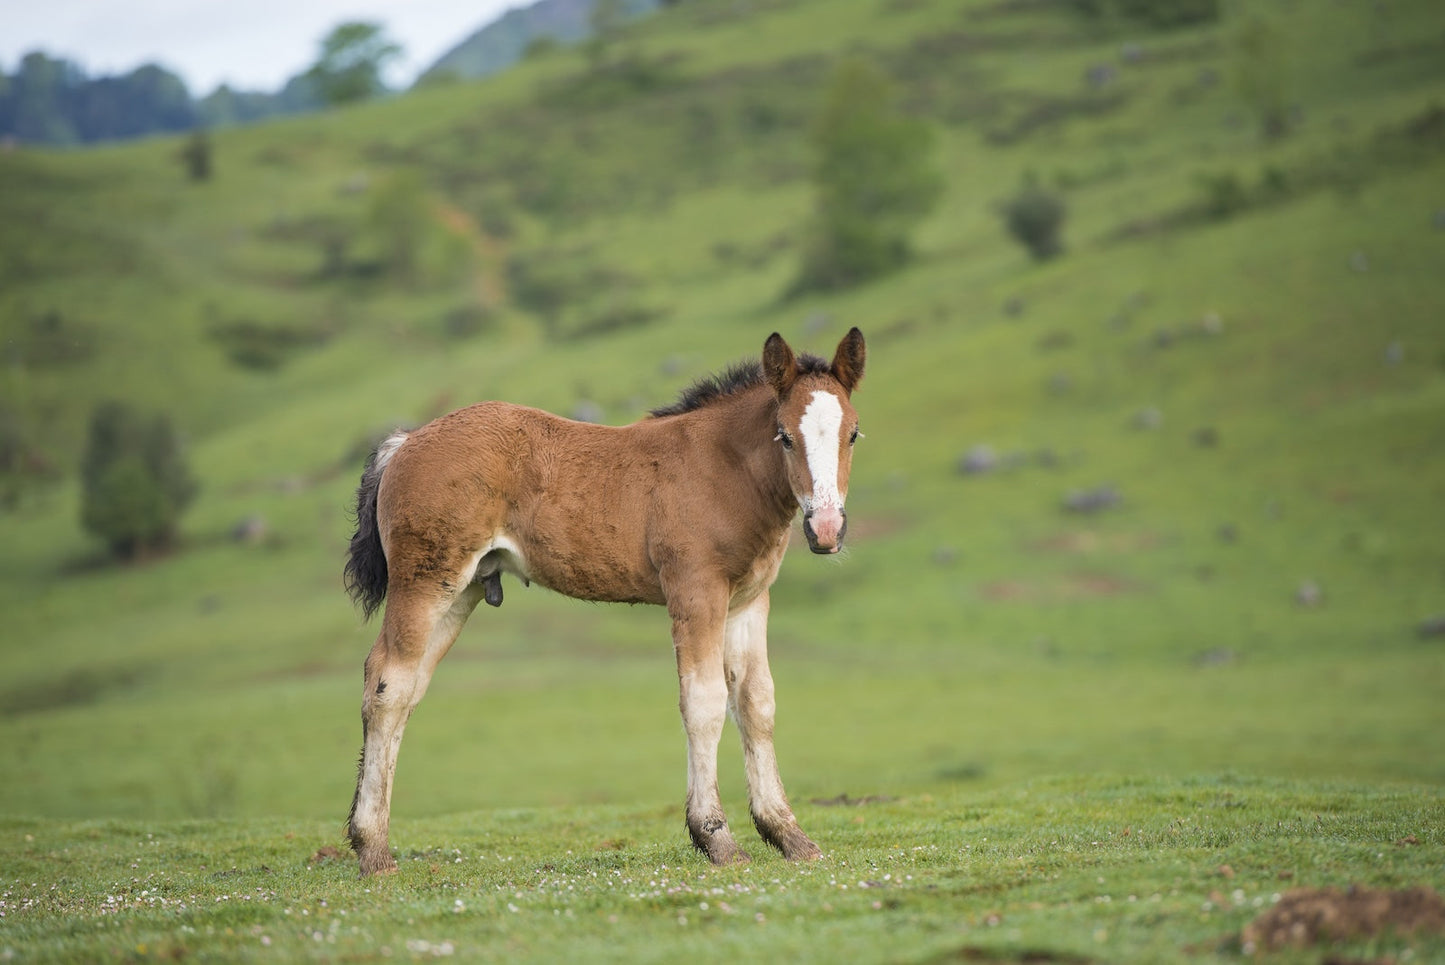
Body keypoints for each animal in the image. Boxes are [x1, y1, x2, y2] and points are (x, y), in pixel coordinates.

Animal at [343, 327, 861, 878]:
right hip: (425, 581)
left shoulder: (748, 600)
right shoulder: (695, 591)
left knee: (406, 688)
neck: (723, 469)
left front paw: (789, 835)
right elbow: (703, 702)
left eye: (853, 433)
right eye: (784, 435)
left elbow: (755, 702)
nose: (826, 529)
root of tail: (405, 442)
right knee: (388, 683)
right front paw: (716, 839)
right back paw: (373, 850)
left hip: (460, 591)